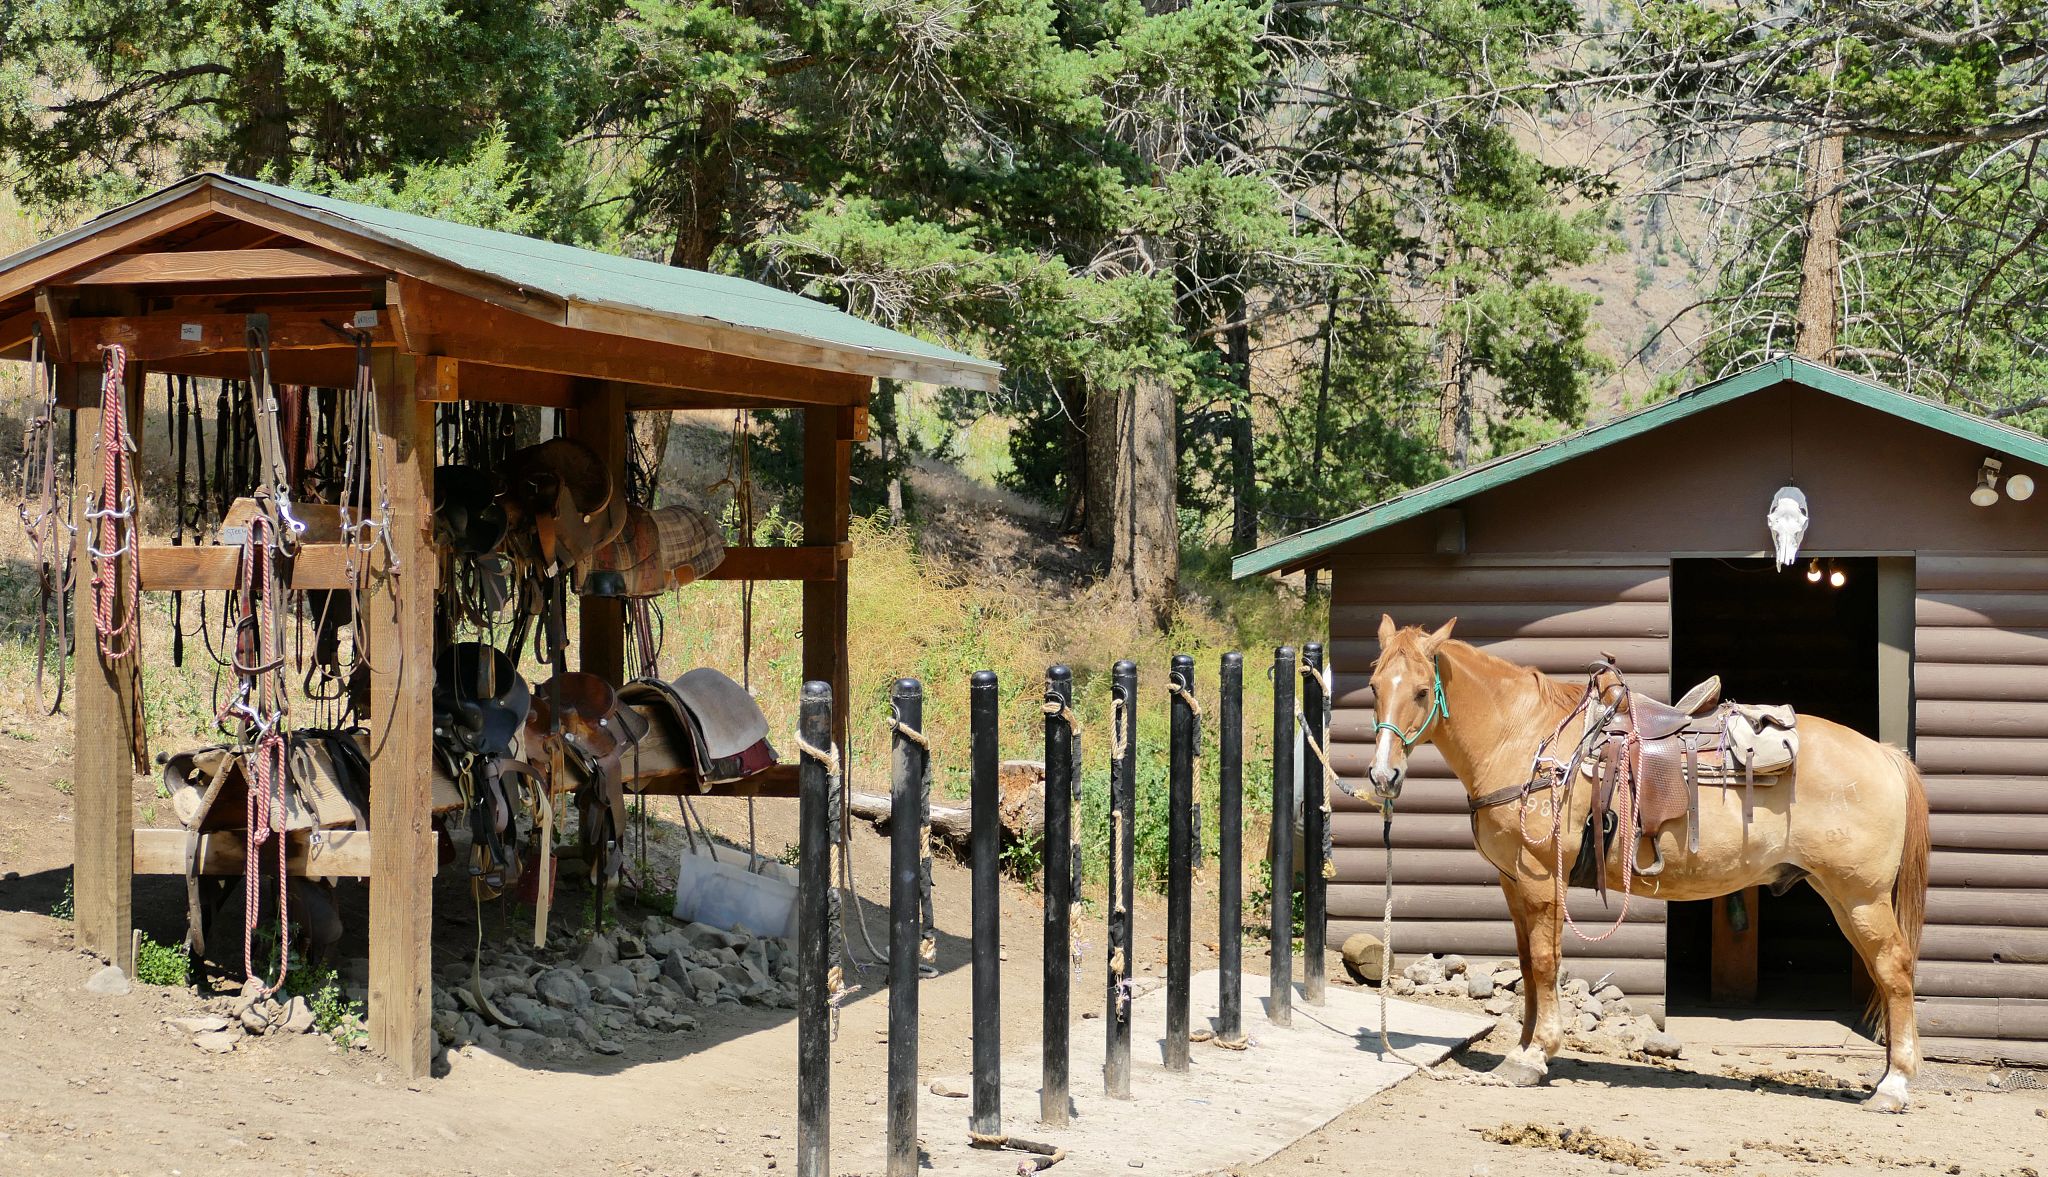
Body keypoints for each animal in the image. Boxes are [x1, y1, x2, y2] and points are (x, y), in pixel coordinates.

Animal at [1364, 615, 1931, 1112]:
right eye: (1373, 687)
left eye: (1421, 691)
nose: (1383, 776)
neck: (1525, 739)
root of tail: (1884, 754)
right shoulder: (1514, 884)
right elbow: (1526, 966)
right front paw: (1521, 1051)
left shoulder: (1541, 879)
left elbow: (1545, 964)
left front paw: (1534, 1056)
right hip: (1840, 894)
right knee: (1883, 974)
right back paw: (1885, 1076)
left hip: (1860, 896)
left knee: (1895, 969)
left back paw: (1895, 1086)